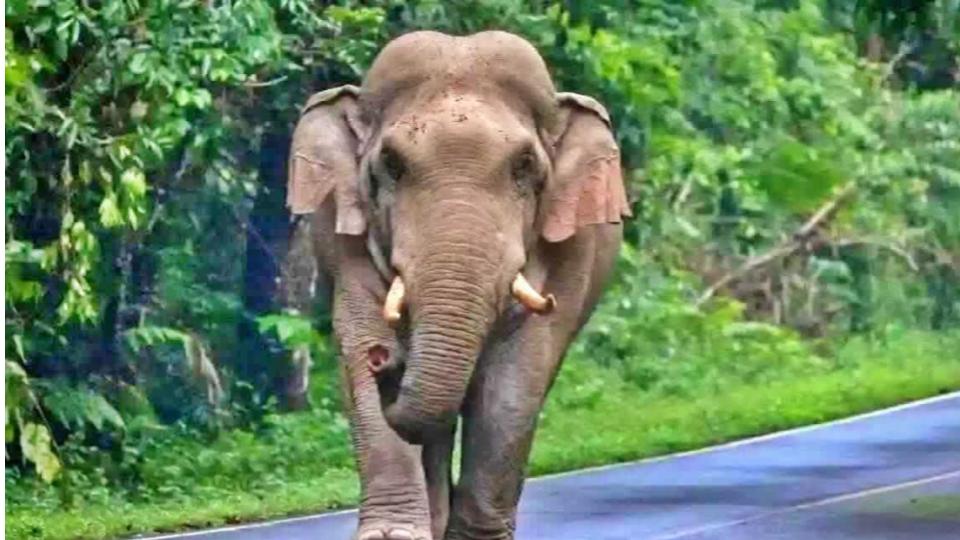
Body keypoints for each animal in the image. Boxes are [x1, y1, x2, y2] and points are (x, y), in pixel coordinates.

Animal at [284, 31, 630, 540]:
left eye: (524, 165)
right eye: (391, 164)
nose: (386, 361)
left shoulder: (571, 252)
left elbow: (516, 378)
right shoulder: (340, 236)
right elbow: (360, 334)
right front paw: (392, 536)